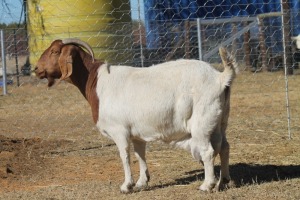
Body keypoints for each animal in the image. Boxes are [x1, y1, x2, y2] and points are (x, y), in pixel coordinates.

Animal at [34, 38, 237, 193]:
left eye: (54, 51)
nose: (36, 69)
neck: (97, 82)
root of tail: (220, 78)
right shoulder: (137, 133)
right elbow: (140, 155)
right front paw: (141, 182)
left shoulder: (119, 131)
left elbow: (124, 155)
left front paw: (126, 186)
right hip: (221, 121)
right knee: (225, 146)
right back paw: (225, 180)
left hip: (201, 123)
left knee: (208, 151)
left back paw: (206, 185)